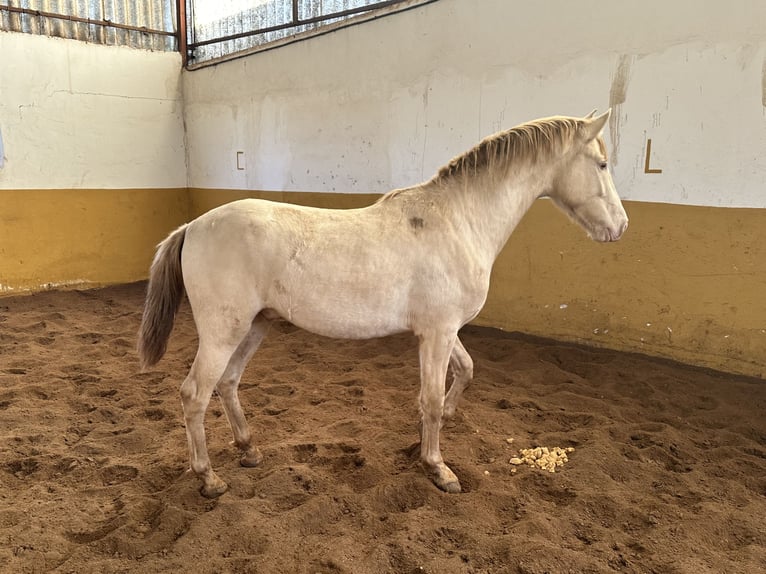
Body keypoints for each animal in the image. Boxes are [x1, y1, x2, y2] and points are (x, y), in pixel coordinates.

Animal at [138, 110, 632, 498]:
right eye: (602, 163)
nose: (621, 227)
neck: (459, 220)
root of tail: (193, 226)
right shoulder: (436, 333)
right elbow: (429, 397)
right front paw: (438, 468)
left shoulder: (443, 330)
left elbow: (464, 373)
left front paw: (433, 432)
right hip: (224, 332)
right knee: (194, 394)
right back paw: (208, 479)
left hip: (255, 325)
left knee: (228, 384)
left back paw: (250, 450)